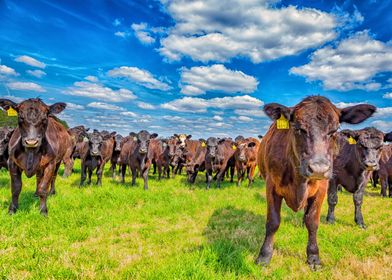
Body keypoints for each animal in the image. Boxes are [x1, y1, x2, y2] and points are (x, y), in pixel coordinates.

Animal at [256, 97, 376, 270]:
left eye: (334, 131)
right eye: (298, 128)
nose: (318, 169)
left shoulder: (322, 188)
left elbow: (312, 222)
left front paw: (313, 257)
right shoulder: (271, 185)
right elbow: (273, 222)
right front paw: (264, 256)